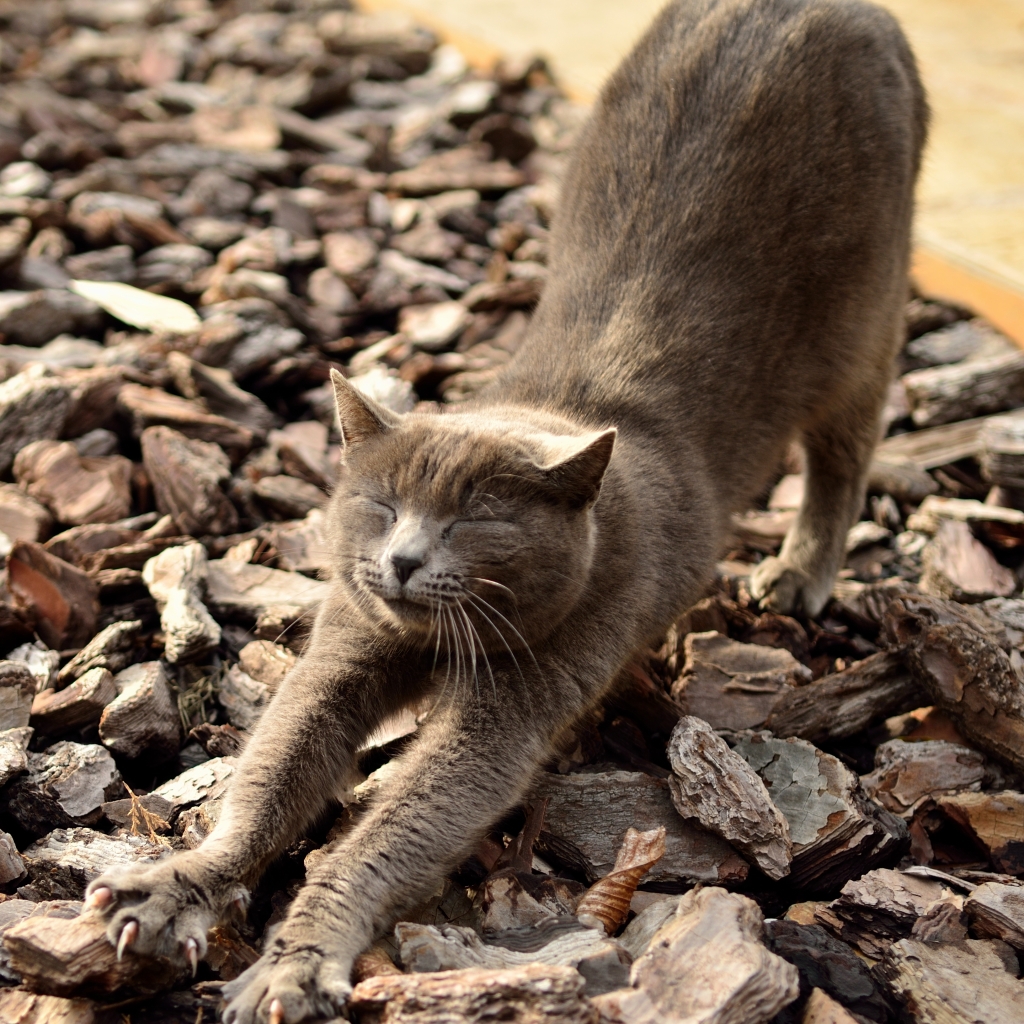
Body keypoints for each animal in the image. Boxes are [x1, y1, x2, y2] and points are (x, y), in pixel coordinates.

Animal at [86, 4, 929, 1019]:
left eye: (473, 521)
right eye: (382, 504)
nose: (404, 559)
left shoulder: (526, 695)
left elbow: (397, 825)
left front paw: (296, 960)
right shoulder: (342, 651)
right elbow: (270, 773)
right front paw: (176, 886)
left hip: (866, 325)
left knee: (845, 455)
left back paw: (799, 574)